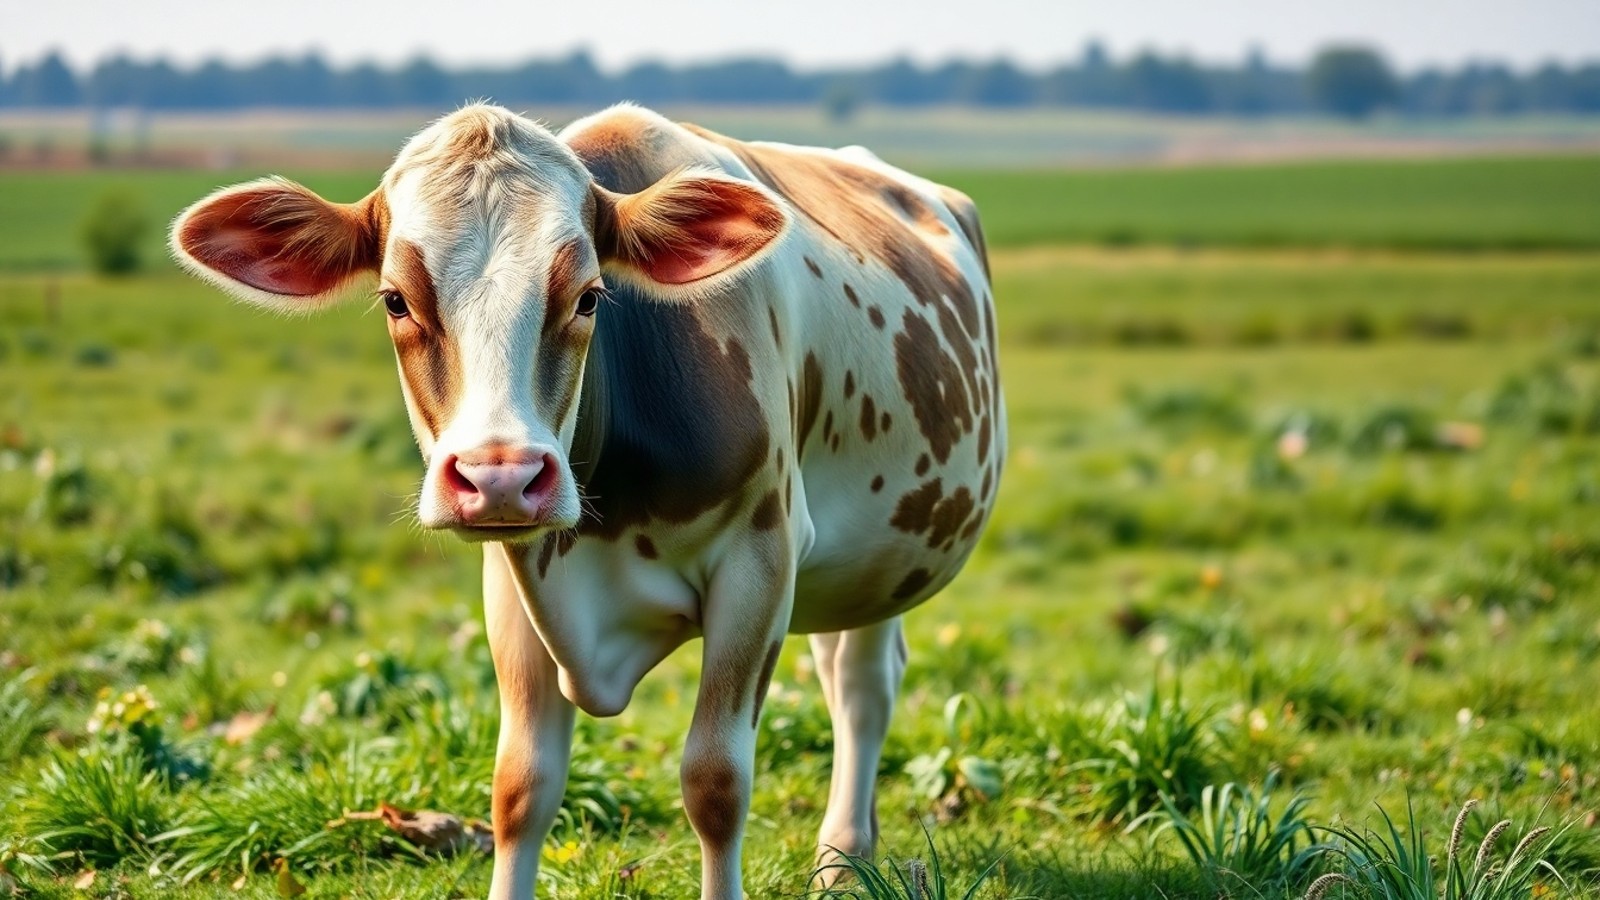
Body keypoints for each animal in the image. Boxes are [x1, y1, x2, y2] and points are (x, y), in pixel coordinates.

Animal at [169, 102, 1006, 899]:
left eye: (589, 297)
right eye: (395, 300)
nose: (499, 476)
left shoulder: (759, 559)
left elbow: (716, 781)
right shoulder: (516, 579)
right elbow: (521, 786)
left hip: (891, 544)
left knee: (864, 690)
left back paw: (842, 859)